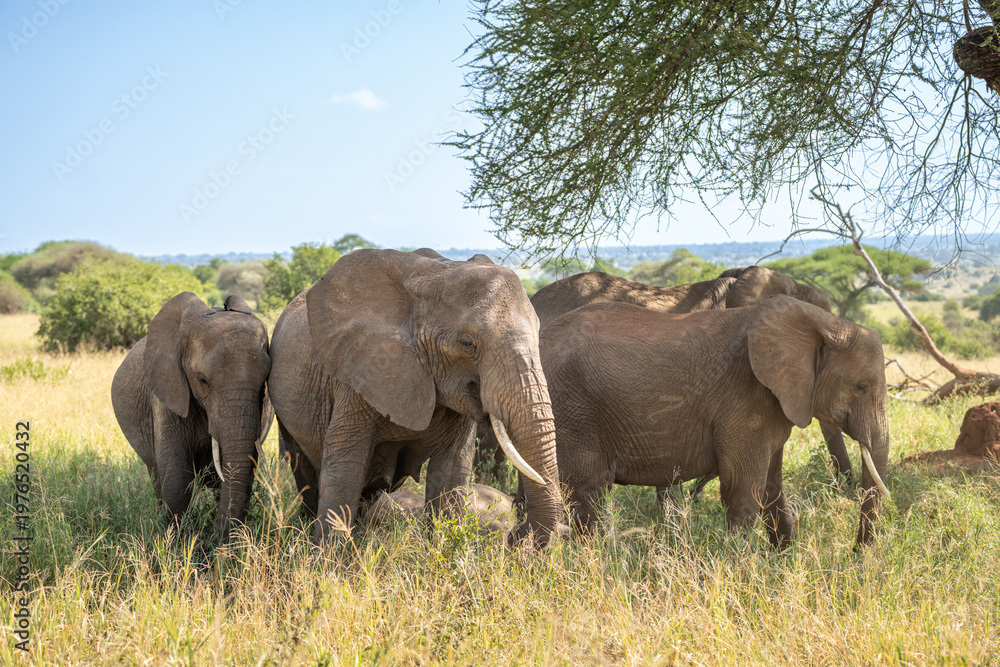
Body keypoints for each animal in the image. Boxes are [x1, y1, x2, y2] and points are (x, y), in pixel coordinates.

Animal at [111, 293, 273, 547]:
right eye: (202, 380)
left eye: (265, 382)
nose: (214, 546)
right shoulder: (167, 394)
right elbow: (176, 476)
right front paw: (175, 546)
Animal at [267, 248, 560, 547]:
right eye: (467, 344)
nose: (515, 535)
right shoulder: (358, 371)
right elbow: (345, 467)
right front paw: (328, 557)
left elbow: (450, 471)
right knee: (306, 472)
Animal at [540, 295, 890, 547]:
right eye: (861, 387)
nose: (856, 553)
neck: (824, 324)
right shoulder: (745, 396)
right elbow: (744, 488)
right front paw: (743, 573)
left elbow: (773, 488)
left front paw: (784, 564)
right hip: (573, 411)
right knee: (588, 493)